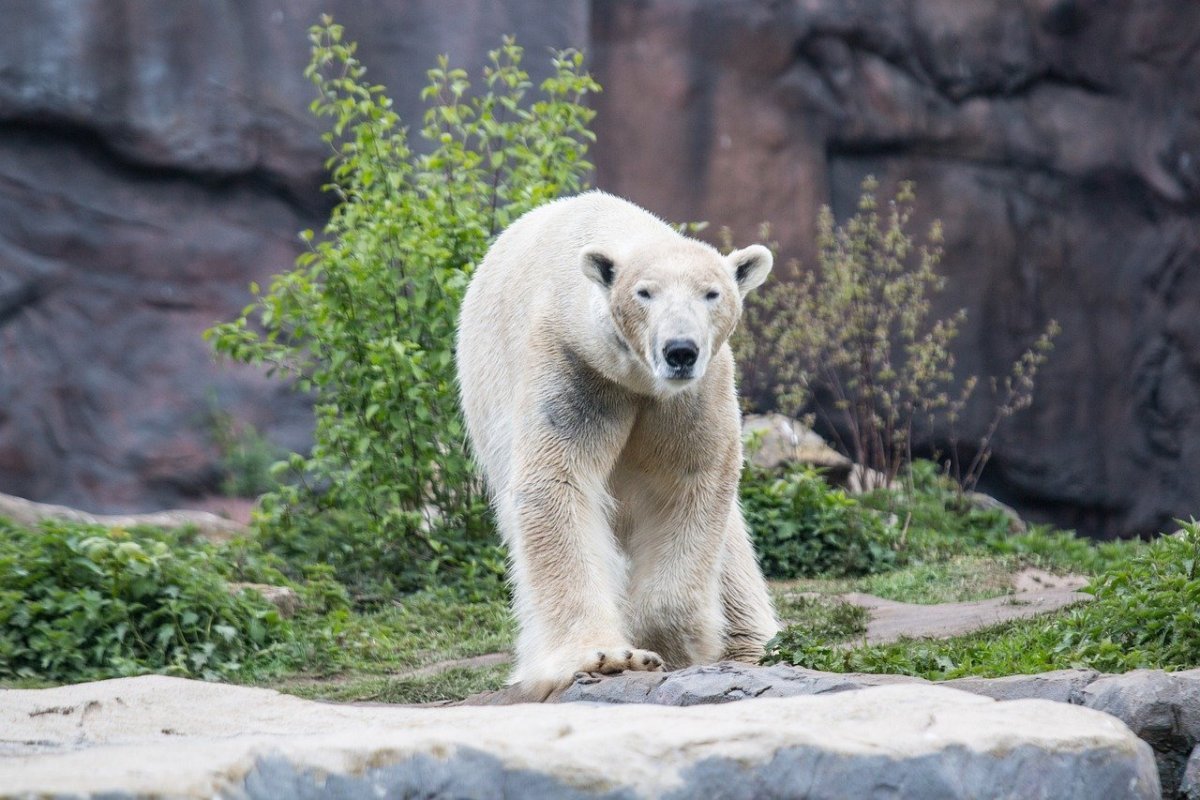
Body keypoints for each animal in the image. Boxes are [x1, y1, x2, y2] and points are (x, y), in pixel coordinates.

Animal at [456, 190, 779, 696]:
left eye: (712, 293)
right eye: (644, 293)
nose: (680, 350)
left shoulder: (693, 395)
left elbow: (688, 482)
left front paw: (668, 643)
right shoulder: (573, 368)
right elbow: (557, 484)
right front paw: (610, 656)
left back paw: (751, 645)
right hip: (487, 395)